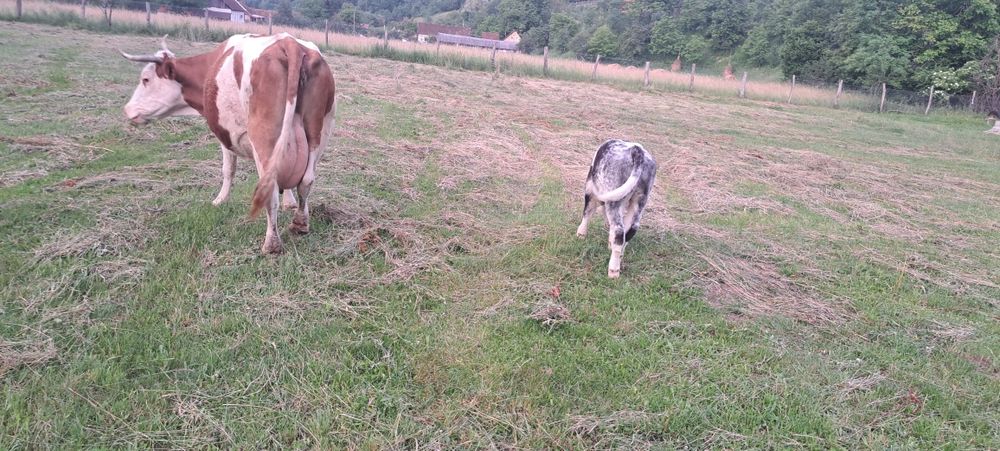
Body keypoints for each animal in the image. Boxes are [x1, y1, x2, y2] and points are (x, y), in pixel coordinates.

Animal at [121, 34, 336, 254]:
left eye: (146, 79)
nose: (127, 109)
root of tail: (289, 43)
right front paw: (290, 203)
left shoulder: (226, 135)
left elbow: (228, 170)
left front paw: (219, 200)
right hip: (319, 133)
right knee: (306, 180)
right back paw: (300, 223)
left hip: (264, 139)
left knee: (270, 188)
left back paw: (271, 243)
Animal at [576, 140, 657, 278]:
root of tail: (637, 150)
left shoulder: (590, 190)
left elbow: (587, 212)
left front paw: (581, 234)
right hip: (640, 200)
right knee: (630, 229)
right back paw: (619, 256)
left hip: (613, 197)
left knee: (619, 231)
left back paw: (613, 270)